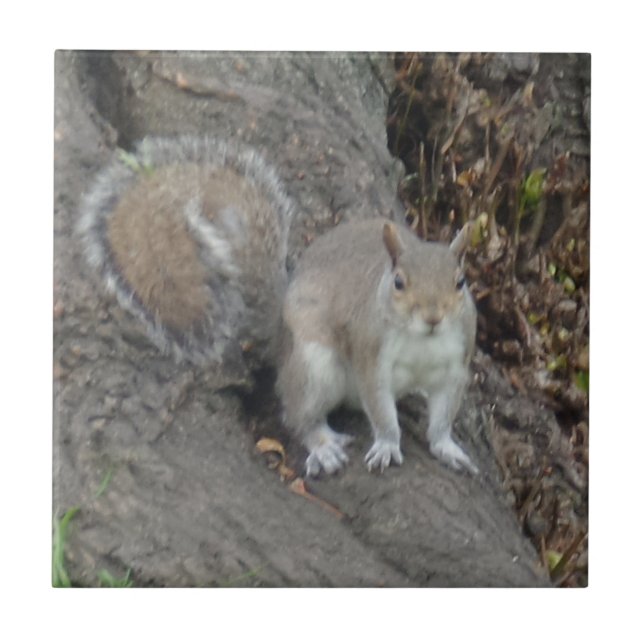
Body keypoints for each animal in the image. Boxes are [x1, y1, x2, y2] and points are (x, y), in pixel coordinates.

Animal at [79, 136, 478, 477]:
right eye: (398, 282)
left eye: (460, 282)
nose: (433, 317)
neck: (422, 341)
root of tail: (280, 327)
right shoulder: (370, 356)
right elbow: (380, 410)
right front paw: (387, 444)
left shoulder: (456, 364)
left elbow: (443, 417)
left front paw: (447, 447)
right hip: (314, 366)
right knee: (299, 415)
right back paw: (322, 445)